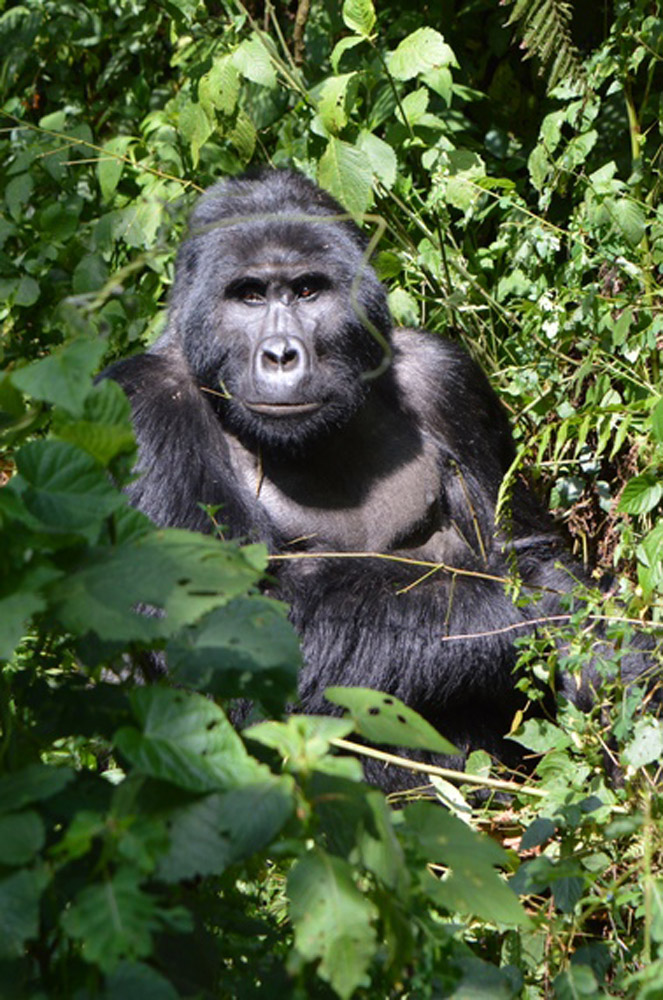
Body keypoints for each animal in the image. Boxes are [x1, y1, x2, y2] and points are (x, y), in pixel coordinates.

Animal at [104, 172, 652, 792]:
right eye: (248, 296)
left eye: (307, 291)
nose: (281, 355)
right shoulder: (146, 405)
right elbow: (228, 620)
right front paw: (531, 614)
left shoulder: (446, 376)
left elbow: (528, 550)